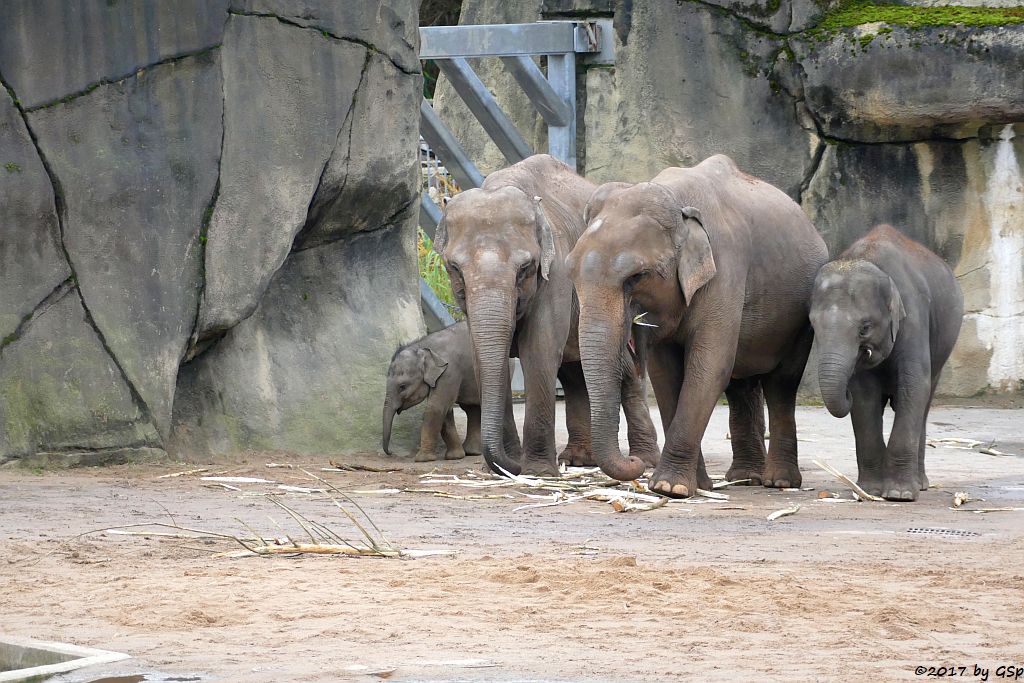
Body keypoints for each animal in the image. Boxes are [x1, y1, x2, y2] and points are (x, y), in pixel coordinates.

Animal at [380, 321, 520, 462]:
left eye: (402, 386)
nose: (391, 452)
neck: (423, 346)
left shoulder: (449, 372)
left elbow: (435, 407)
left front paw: (422, 459)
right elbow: (445, 411)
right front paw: (455, 456)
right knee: (471, 409)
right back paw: (472, 452)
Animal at [430, 154, 655, 475]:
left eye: (525, 268)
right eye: (454, 267)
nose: (512, 464)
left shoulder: (557, 273)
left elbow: (539, 351)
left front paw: (536, 472)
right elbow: (485, 358)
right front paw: (508, 468)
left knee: (621, 366)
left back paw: (643, 461)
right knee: (574, 370)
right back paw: (577, 460)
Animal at [569, 154, 831, 497]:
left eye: (637, 276)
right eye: (570, 271)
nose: (636, 463)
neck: (678, 201)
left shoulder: (726, 269)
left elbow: (708, 366)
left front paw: (669, 487)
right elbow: (666, 375)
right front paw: (692, 485)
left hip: (800, 321)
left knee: (782, 384)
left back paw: (779, 482)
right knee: (741, 384)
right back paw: (745, 478)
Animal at [811, 227, 962, 499]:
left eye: (865, 328)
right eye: (813, 325)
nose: (845, 392)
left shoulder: (914, 316)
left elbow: (913, 386)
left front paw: (899, 495)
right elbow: (864, 396)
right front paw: (870, 490)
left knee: (923, 402)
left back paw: (920, 485)